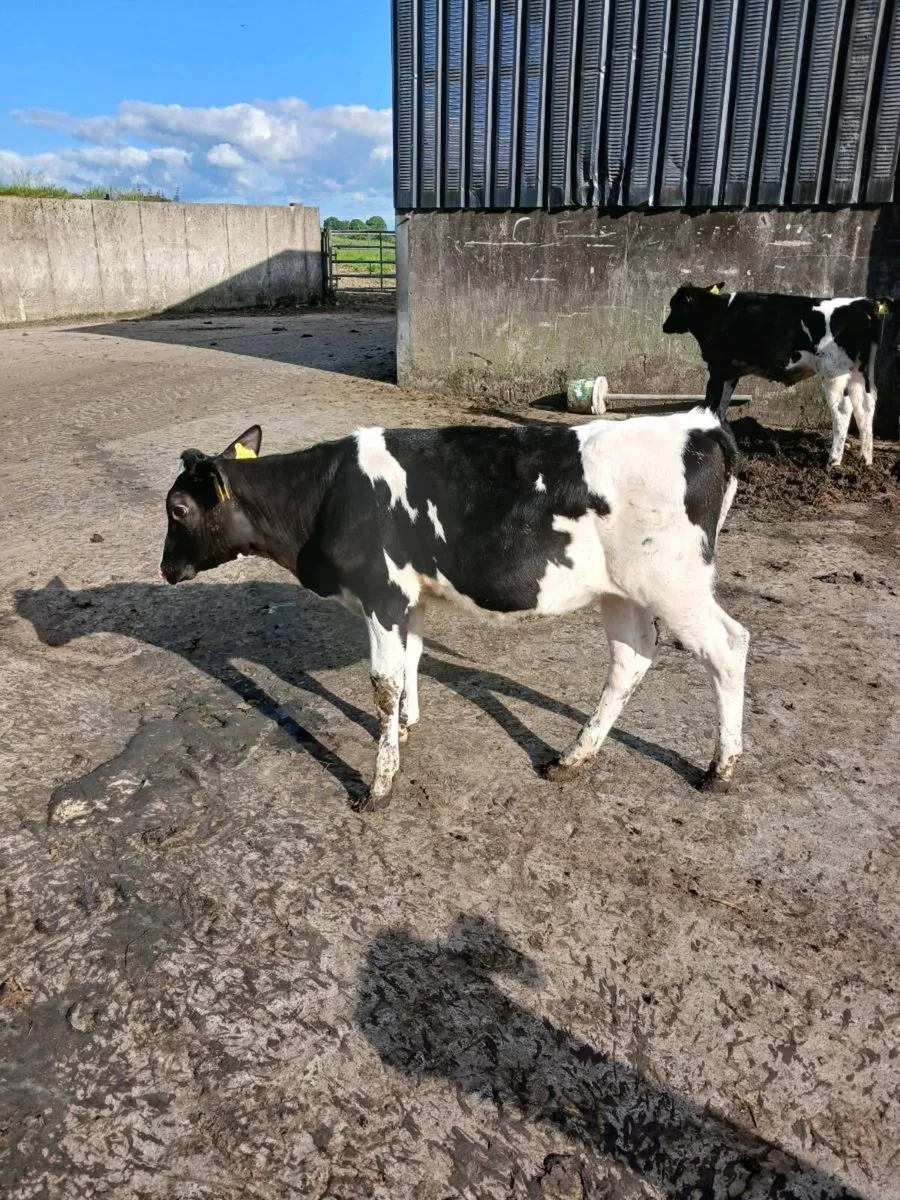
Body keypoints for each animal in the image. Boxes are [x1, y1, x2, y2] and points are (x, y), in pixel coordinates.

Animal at [158, 412, 749, 810]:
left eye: (178, 509)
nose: (164, 569)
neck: (328, 495)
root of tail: (699, 425)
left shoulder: (382, 594)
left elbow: (383, 683)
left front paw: (379, 784)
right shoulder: (410, 596)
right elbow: (412, 660)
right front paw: (406, 727)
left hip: (676, 585)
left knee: (728, 646)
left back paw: (720, 770)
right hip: (623, 591)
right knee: (631, 658)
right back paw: (572, 758)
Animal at [662, 283, 894, 468]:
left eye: (675, 305)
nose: (665, 326)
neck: (717, 313)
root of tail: (863, 303)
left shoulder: (717, 368)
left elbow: (711, 403)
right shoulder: (731, 372)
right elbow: (721, 407)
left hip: (834, 371)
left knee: (843, 410)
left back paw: (833, 462)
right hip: (861, 372)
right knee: (866, 406)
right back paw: (866, 460)